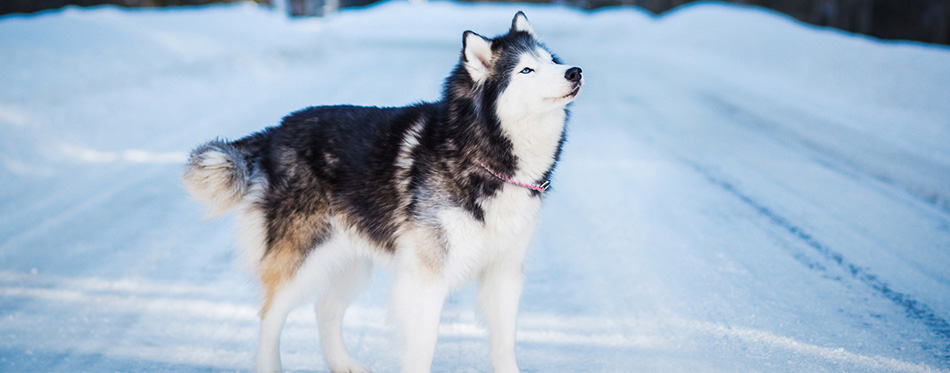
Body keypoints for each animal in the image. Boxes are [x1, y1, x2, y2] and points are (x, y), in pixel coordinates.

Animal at [179, 11, 580, 372]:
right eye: (526, 71)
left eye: (551, 61)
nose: (574, 71)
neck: (481, 155)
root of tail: (278, 129)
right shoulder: (426, 278)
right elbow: (424, 346)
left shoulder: (504, 273)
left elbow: (504, 346)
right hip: (302, 258)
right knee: (269, 317)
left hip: (351, 260)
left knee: (324, 309)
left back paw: (344, 365)